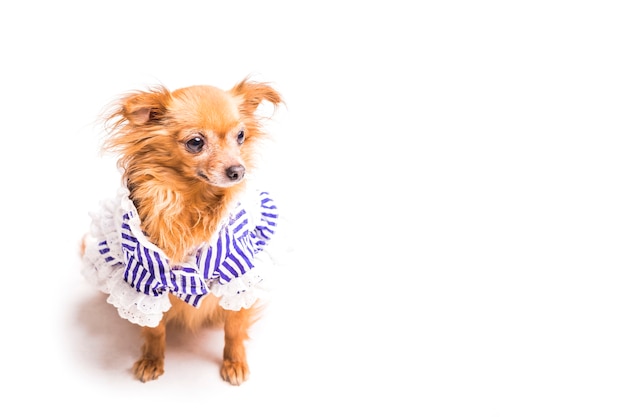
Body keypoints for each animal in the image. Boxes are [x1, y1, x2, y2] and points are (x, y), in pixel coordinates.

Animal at [80, 78, 282, 384]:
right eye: (196, 142)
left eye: (241, 136)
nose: (238, 170)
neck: (191, 202)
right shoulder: (145, 280)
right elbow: (154, 329)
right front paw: (152, 359)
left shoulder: (239, 274)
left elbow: (234, 327)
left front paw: (234, 362)